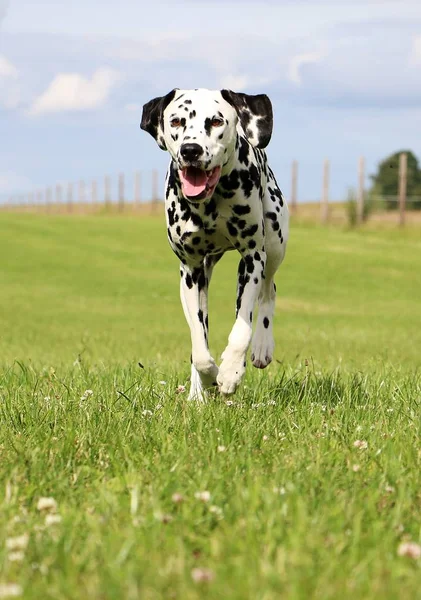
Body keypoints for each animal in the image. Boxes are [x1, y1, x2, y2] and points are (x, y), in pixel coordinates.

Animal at [141, 88, 288, 398]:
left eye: (217, 121)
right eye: (176, 121)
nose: (190, 150)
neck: (211, 202)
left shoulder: (252, 259)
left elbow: (241, 328)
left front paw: (231, 371)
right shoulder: (191, 270)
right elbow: (199, 346)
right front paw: (207, 379)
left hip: (274, 242)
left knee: (269, 291)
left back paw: (262, 347)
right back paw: (198, 390)